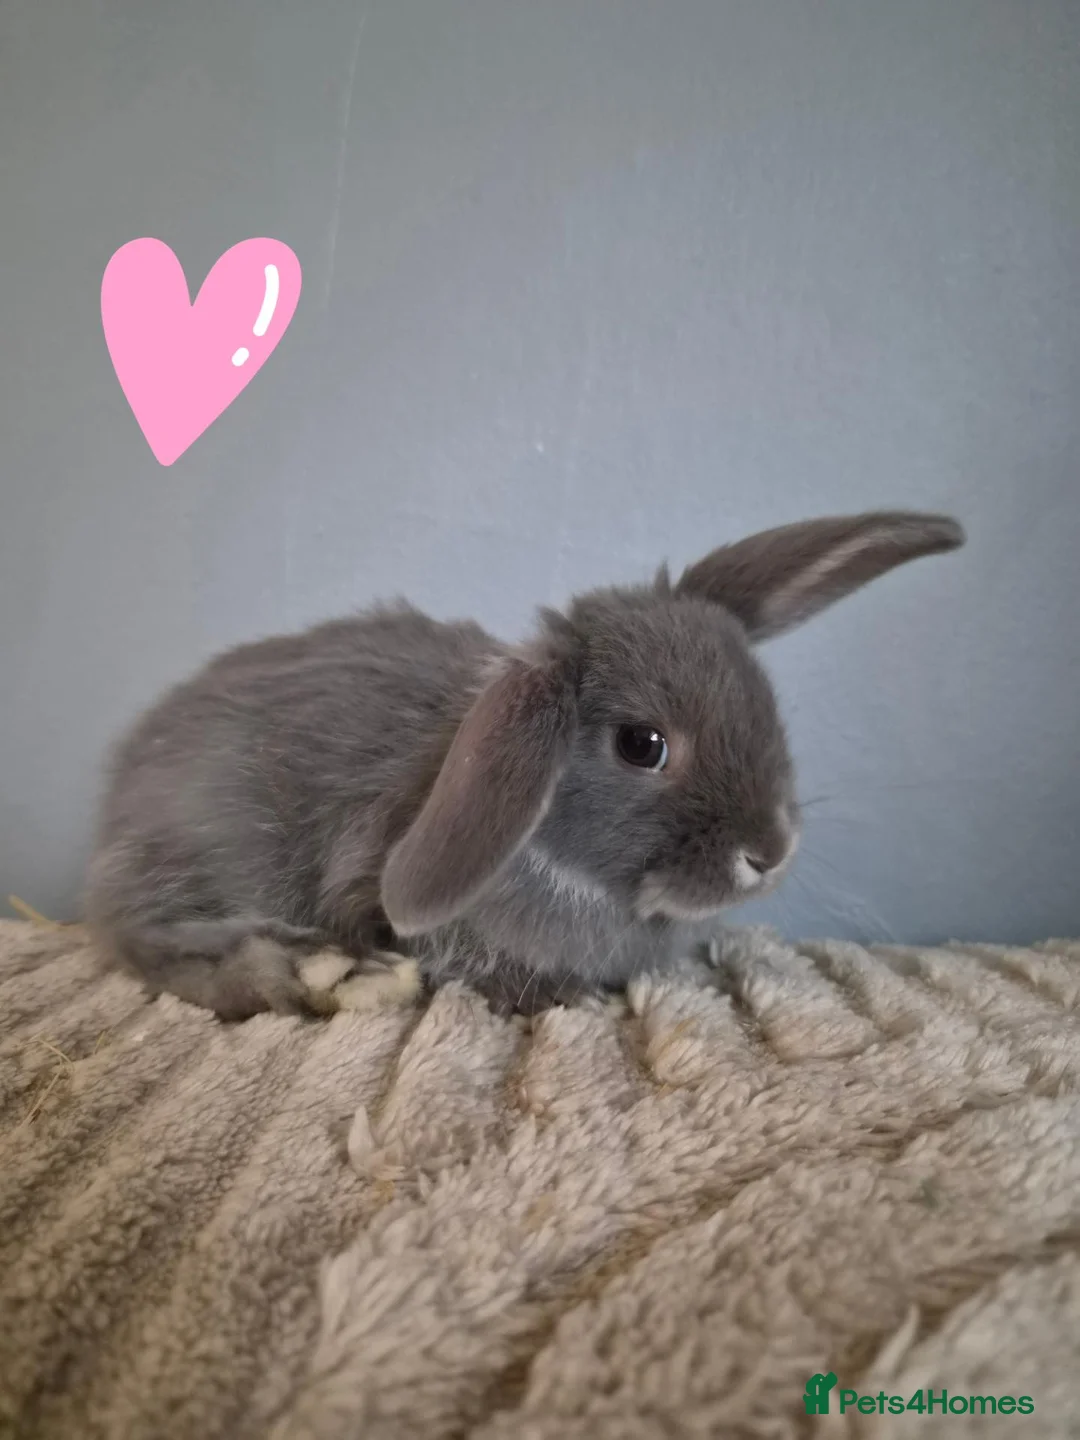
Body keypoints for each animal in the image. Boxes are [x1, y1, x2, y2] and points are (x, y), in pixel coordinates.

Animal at [85, 509, 964, 1020]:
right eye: (643, 745)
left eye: (766, 702)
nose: (770, 853)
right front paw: (567, 998)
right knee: (146, 940)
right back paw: (302, 973)